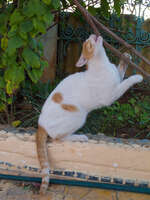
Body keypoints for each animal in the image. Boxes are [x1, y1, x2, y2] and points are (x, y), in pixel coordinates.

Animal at [35, 34, 143, 195]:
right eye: (88, 44)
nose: (93, 35)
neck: (103, 64)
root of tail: (40, 123)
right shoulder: (111, 96)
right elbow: (126, 82)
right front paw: (138, 77)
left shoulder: (117, 76)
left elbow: (121, 70)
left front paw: (126, 56)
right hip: (79, 116)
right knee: (57, 138)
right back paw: (80, 137)